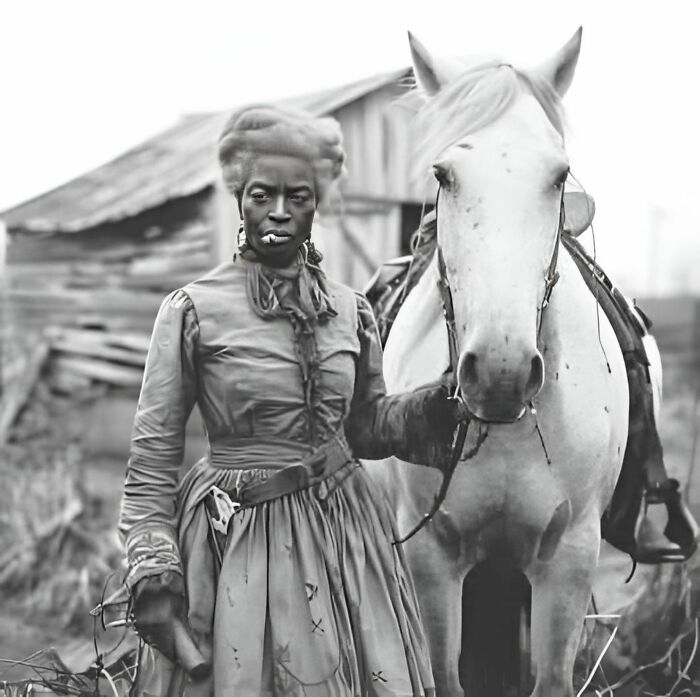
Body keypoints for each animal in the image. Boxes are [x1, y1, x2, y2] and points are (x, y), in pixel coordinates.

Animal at [365, 28, 632, 696]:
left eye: (558, 175)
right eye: (444, 174)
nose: (500, 373)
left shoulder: (568, 560)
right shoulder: (431, 560)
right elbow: (445, 675)